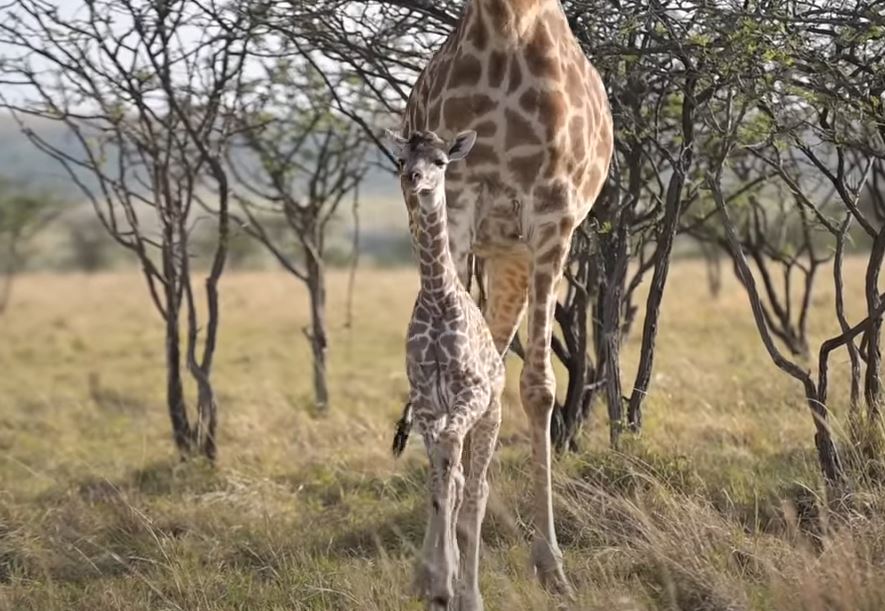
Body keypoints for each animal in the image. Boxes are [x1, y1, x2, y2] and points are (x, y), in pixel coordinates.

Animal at [398, 0, 612, 596]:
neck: (507, 21)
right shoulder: (461, 201)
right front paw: (436, 567)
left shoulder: (553, 212)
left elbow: (539, 388)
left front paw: (551, 566)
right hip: (491, 249)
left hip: (514, 254)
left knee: (496, 376)